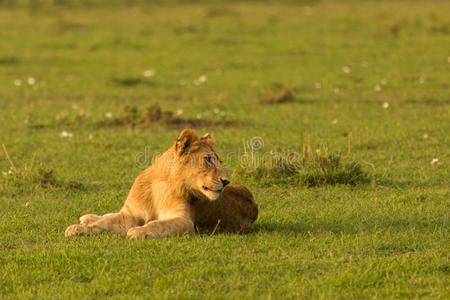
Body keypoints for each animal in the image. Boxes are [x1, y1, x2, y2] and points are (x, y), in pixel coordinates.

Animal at [65, 129, 258, 239]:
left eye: (220, 161)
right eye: (208, 160)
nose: (226, 181)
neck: (163, 184)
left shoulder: (184, 220)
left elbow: (157, 224)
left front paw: (137, 231)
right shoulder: (130, 214)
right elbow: (106, 222)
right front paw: (77, 229)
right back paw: (88, 217)